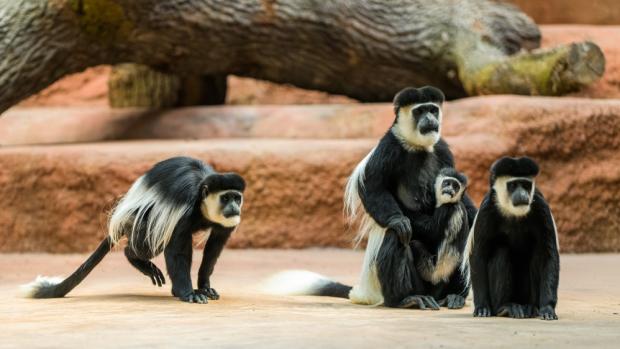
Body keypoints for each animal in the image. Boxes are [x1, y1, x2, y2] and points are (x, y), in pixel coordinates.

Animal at [21, 156, 245, 304]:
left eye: (237, 197)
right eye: (226, 198)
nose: (234, 207)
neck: (201, 200)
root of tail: (124, 212)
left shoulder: (226, 223)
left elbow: (213, 250)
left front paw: (205, 287)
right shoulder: (184, 211)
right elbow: (177, 250)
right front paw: (189, 293)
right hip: (140, 221)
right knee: (146, 244)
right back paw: (137, 259)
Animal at [260, 86, 474, 308]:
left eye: (432, 109)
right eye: (419, 111)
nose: (430, 119)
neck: (419, 148)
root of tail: (367, 291)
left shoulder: (442, 149)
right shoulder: (390, 146)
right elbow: (372, 186)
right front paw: (398, 219)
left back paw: (453, 296)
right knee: (397, 235)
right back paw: (407, 299)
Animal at [460, 156, 560, 320]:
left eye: (526, 185)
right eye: (513, 185)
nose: (523, 195)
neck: (513, 212)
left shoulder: (540, 206)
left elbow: (548, 255)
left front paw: (547, 309)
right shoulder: (487, 209)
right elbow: (478, 255)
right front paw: (482, 308)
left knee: (537, 254)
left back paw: (531, 308)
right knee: (501, 252)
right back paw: (505, 307)